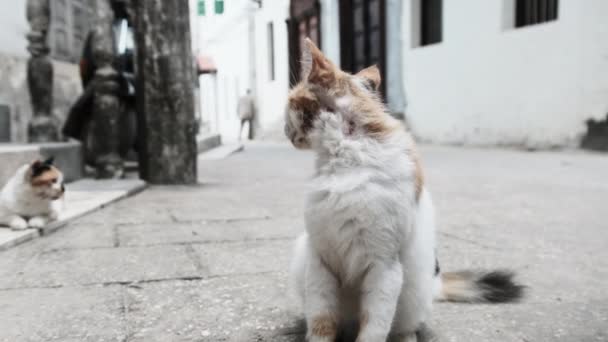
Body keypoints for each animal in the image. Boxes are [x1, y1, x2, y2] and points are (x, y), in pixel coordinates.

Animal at [284, 38, 524, 340]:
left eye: (288, 103)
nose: (284, 131)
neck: (347, 156)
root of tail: (435, 283)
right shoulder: (320, 260)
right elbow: (321, 320)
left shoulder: (384, 265)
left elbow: (375, 326)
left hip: (413, 292)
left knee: (404, 326)